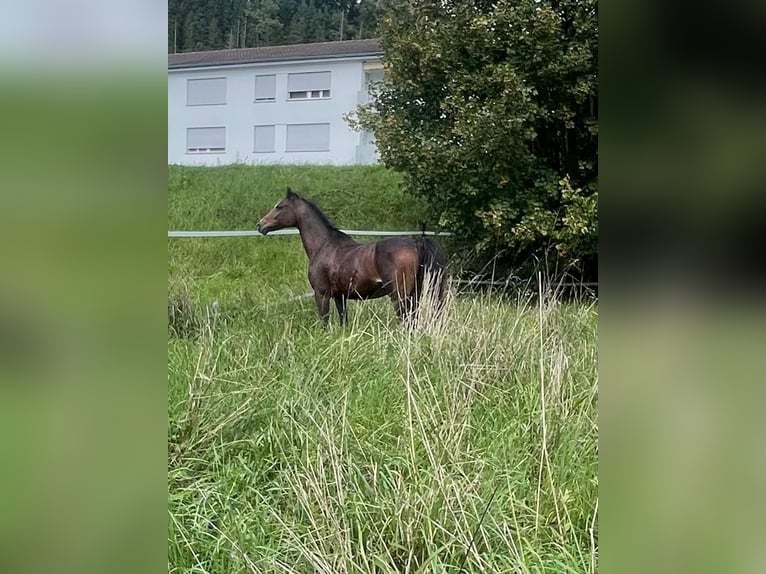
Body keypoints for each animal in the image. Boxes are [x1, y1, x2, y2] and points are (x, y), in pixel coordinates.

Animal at [256, 188, 447, 326]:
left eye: (280, 206)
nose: (260, 225)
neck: (324, 244)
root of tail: (415, 242)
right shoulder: (340, 297)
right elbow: (343, 322)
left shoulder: (321, 294)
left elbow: (325, 324)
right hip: (415, 295)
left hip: (399, 296)